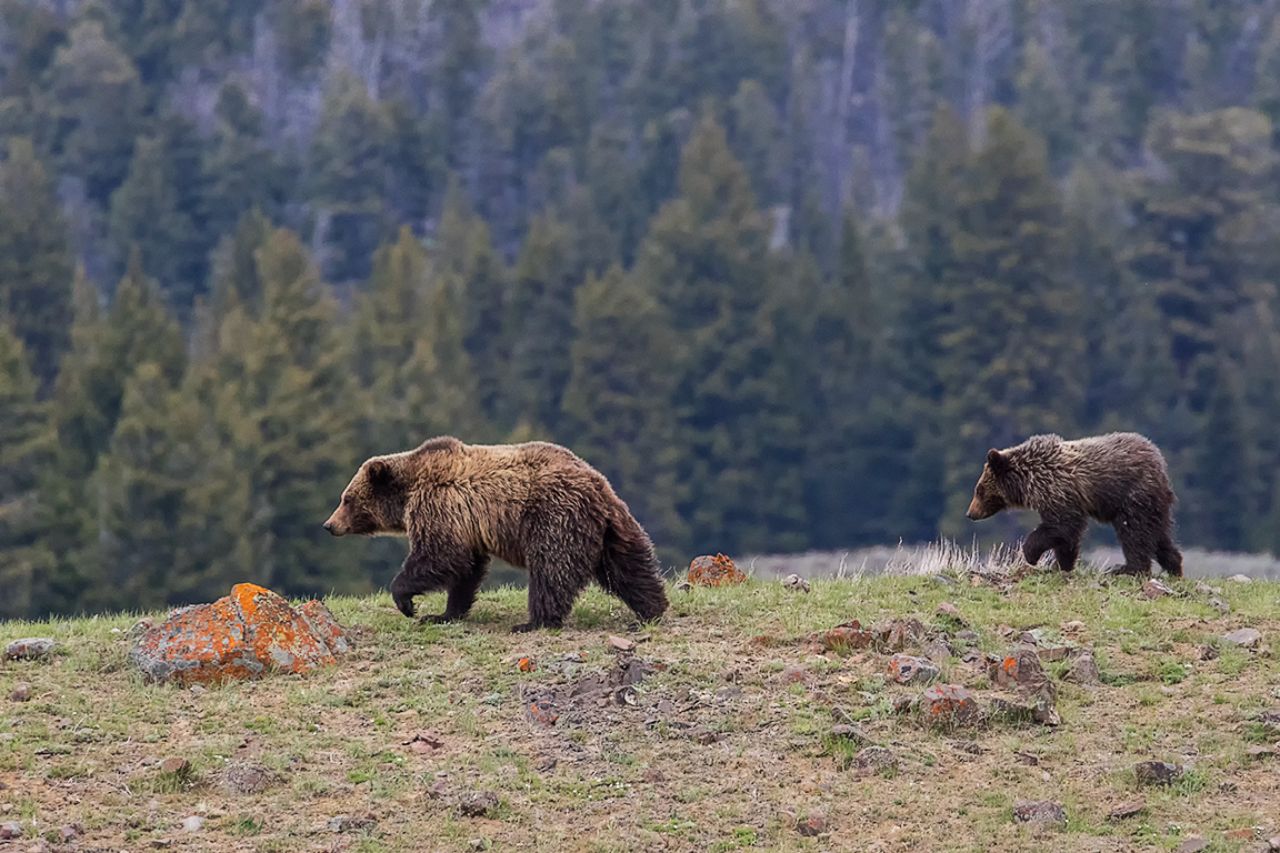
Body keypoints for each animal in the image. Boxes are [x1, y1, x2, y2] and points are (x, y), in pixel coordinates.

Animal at [323, 436, 669, 632]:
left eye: (347, 499)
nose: (329, 525)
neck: (409, 490)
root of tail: (599, 487)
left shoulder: (440, 504)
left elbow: (439, 555)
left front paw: (407, 602)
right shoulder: (466, 526)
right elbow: (466, 570)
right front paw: (444, 614)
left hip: (555, 517)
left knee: (551, 570)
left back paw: (533, 621)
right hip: (614, 530)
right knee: (629, 568)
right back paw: (651, 610)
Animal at [965, 432, 1182, 577]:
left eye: (978, 490)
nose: (970, 513)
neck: (1030, 480)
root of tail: (1159, 461)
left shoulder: (1059, 491)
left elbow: (1063, 527)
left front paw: (1030, 553)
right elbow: (1066, 536)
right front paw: (1062, 564)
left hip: (1134, 495)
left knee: (1134, 533)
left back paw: (1127, 568)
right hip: (1155, 504)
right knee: (1159, 536)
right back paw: (1174, 566)